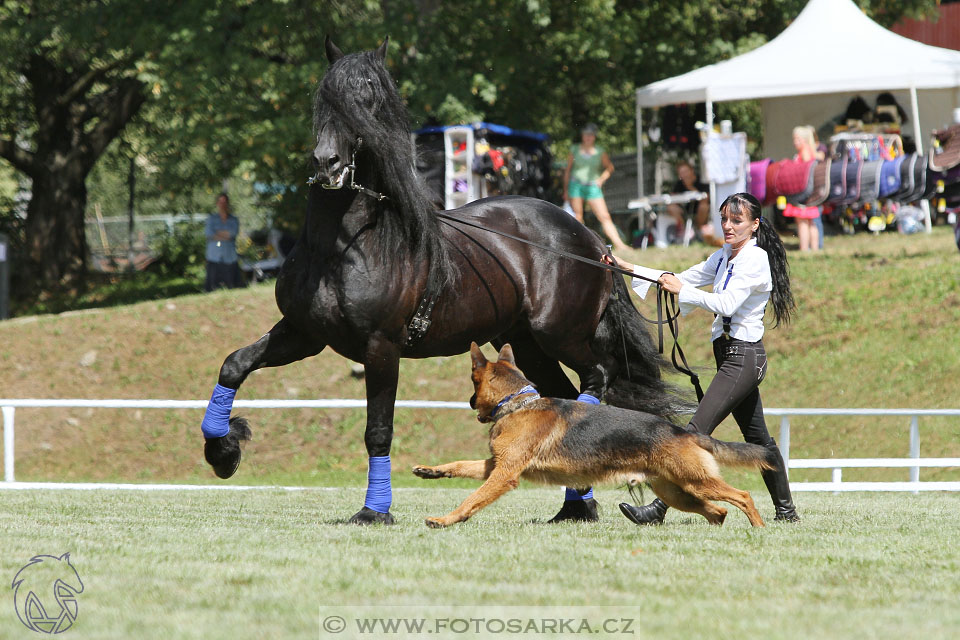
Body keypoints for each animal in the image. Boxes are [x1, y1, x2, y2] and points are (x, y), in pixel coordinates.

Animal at [199, 36, 676, 524]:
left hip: (560, 335)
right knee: (559, 393)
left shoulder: (380, 347)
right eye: (324, 96)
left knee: (594, 380)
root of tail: (587, 237)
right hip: (526, 342)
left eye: (369, 97)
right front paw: (223, 452)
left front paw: (374, 512)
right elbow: (234, 364)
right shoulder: (303, 333)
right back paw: (575, 507)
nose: (328, 163)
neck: (343, 246)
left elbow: (378, 430)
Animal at [414, 342, 780, 528]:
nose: (469, 402)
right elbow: (460, 465)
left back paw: (759, 531)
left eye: (473, 384)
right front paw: (430, 471)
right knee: (718, 512)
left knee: (742, 496)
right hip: (678, 491)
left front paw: (445, 520)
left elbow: (472, 498)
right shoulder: (495, 465)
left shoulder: (504, 474)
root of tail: (680, 431)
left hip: (696, 482)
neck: (517, 403)